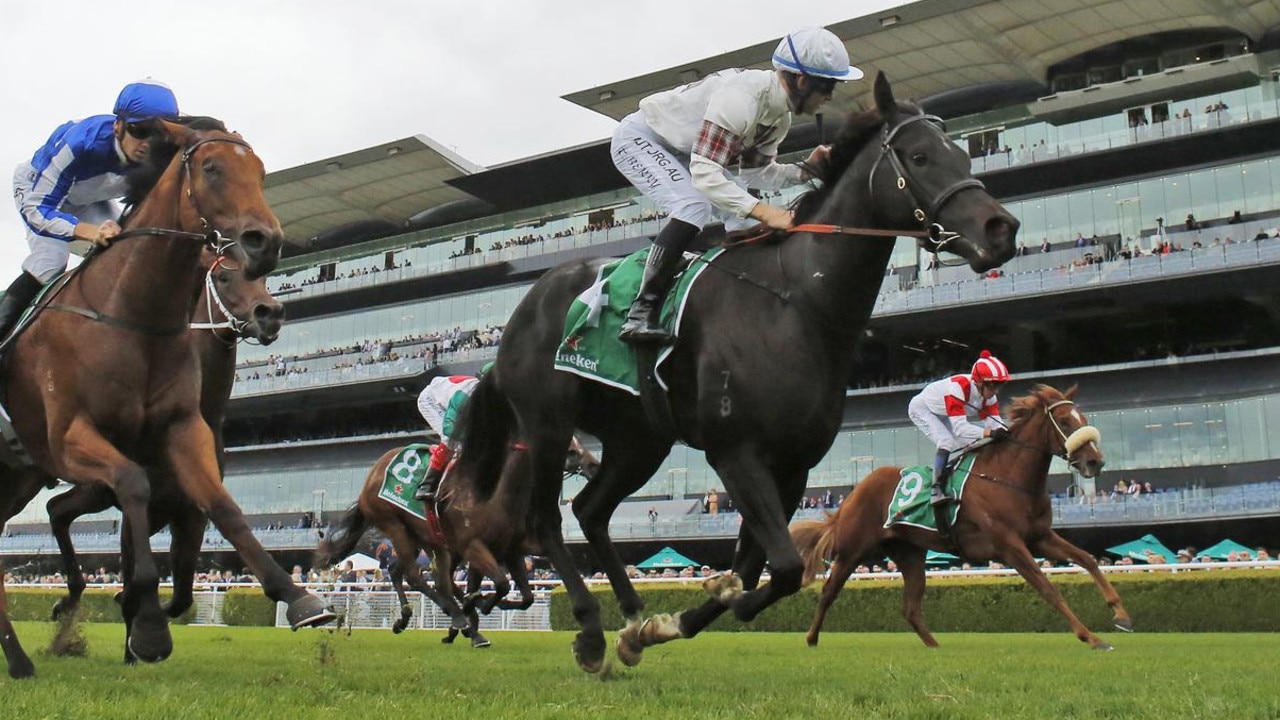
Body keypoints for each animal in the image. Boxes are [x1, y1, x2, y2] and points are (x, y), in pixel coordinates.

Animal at [47, 245, 285, 650]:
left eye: (265, 278)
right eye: (224, 277)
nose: (269, 314)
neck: (201, 409)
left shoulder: (189, 513)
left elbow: (182, 596)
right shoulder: (139, 509)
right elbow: (136, 578)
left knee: (57, 510)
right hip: (96, 487)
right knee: (56, 510)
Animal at [450, 70, 1018, 671]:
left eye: (965, 153)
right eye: (920, 156)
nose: (1001, 228)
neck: (796, 302)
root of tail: (522, 311)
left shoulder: (793, 465)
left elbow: (763, 568)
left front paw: (673, 620)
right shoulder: (735, 451)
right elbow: (781, 566)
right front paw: (711, 603)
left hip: (639, 440)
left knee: (590, 510)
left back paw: (631, 615)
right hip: (548, 423)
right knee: (546, 520)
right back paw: (589, 628)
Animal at [788, 384, 1131, 648]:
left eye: (1082, 418)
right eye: (1064, 421)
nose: (1095, 462)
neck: (1006, 478)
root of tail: (854, 493)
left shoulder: (1039, 537)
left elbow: (1087, 559)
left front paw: (1121, 615)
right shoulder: (1010, 545)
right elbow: (1048, 587)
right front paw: (1090, 637)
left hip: (911, 555)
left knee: (910, 608)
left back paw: (935, 645)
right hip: (852, 551)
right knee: (828, 592)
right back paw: (811, 638)